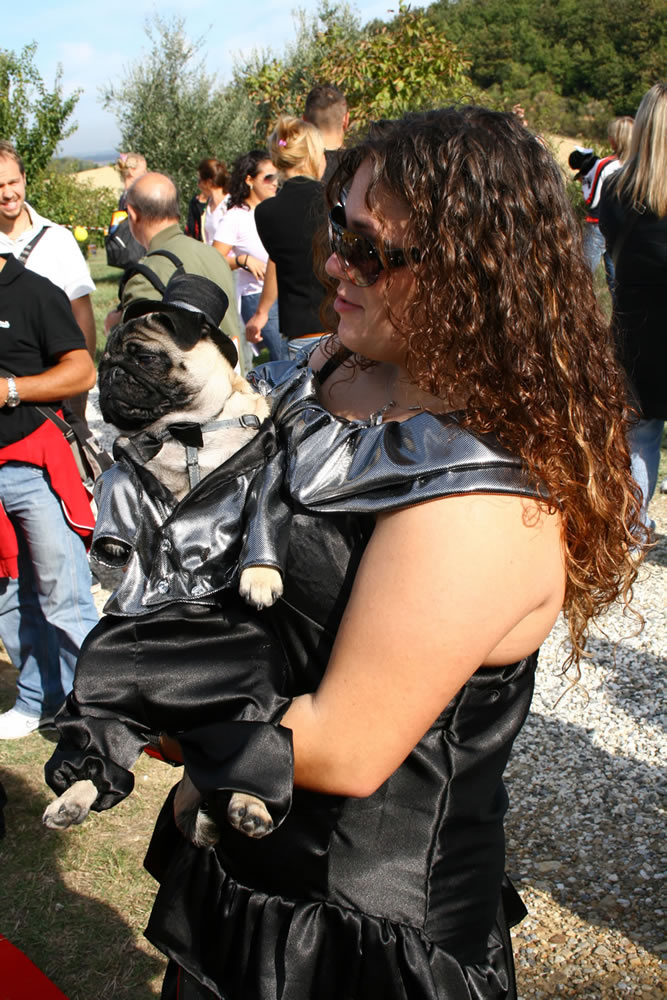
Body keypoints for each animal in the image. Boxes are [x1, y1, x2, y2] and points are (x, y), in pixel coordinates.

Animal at [43, 274, 291, 845]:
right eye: (107, 358)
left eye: (144, 357)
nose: (109, 373)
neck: (185, 432)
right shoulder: (125, 475)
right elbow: (120, 487)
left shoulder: (264, 472)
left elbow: (261, 523)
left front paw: (260, 579)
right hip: (98, 691)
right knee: (99, 743)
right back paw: (71, 799)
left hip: (253, 698)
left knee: (249, 738)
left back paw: (250, 805)